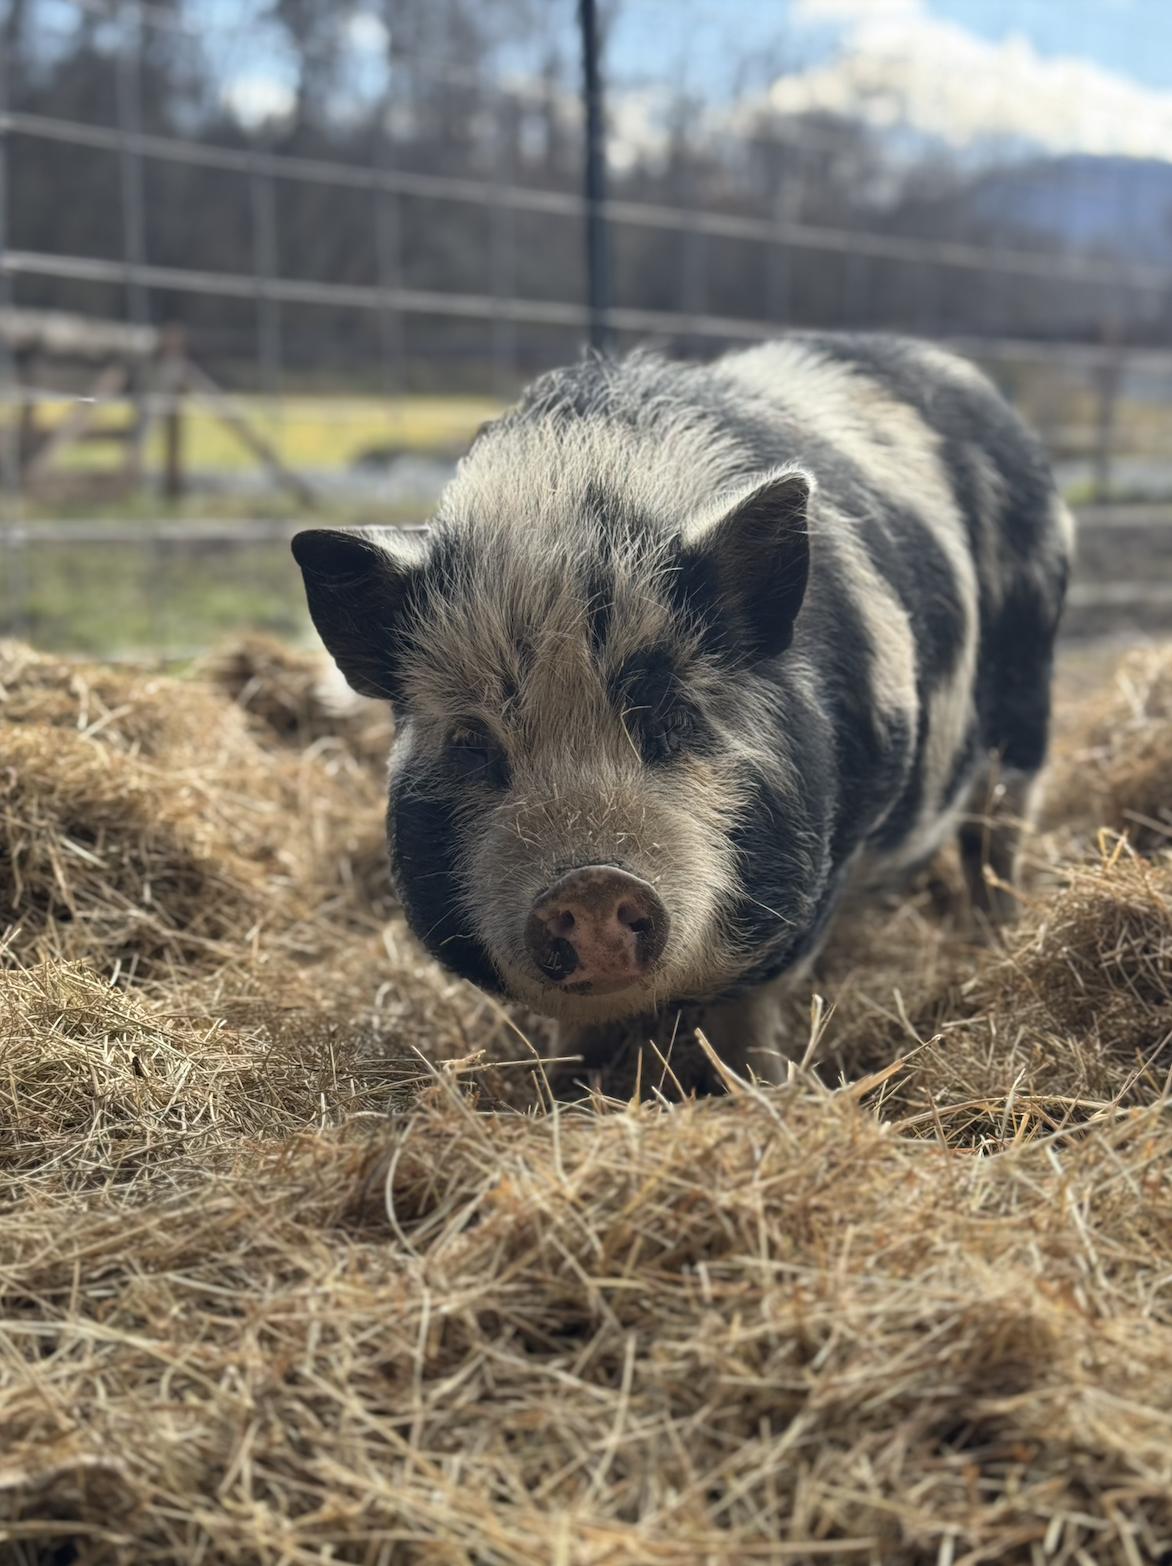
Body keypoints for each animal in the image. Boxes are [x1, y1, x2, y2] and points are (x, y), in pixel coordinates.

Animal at [292, 334, 1072, 1083]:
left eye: (675, 720)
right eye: (472, 743)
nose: (592, 882)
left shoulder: (827, 855)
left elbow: (751, 1011)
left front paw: (766, 1090)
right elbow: (572, 1037)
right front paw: (555, 1089)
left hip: (1028, 704)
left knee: (998, 833)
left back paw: (995, 935)